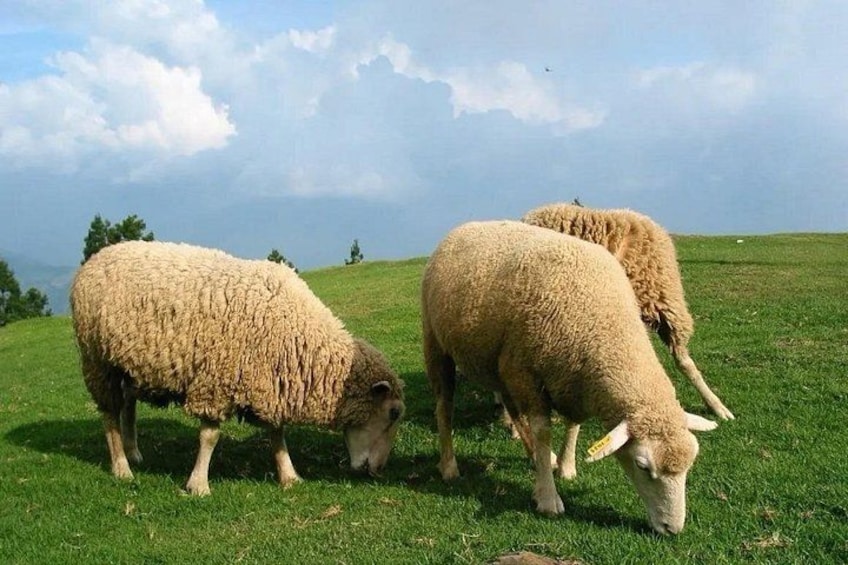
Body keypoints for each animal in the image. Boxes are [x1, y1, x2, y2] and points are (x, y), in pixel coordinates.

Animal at [70, 240, 405, 495]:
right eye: (393, 413)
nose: (378, 471)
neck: (295, 332)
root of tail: (97, 256)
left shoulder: (270, 381)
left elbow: (277, 433)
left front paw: (288, 475)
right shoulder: (217, 381)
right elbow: (209, 437)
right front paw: (198, 485)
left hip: (126, 364)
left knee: (128, 405)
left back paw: (133, 452)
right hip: (97, 361)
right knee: (110, 413)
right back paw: (121, 467)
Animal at [421, 220, 716, 534]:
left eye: (689, 463)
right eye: (642, 466)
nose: (673, 529)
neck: (604, 326)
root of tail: (464, 227)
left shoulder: (573, 379)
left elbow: (573, 425)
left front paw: (565, 466)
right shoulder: (527, 374)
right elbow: (543, 432)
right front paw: (548, 497)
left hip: (501, 366)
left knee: (513, 412)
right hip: (438, 345)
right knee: (444, 406)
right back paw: (449, 465)